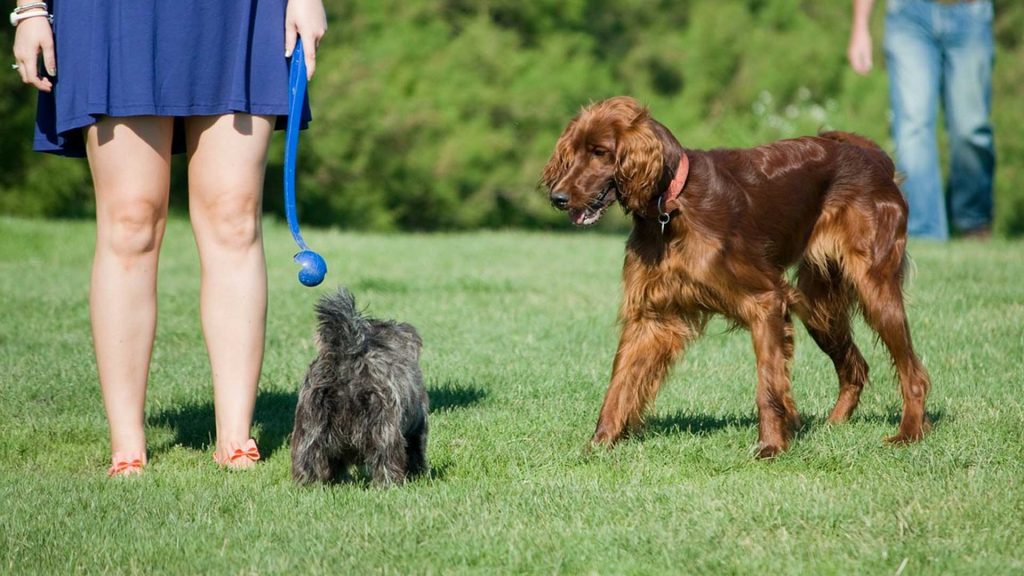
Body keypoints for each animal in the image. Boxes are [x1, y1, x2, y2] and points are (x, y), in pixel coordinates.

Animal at [290, 286, 430, 483]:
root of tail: (347, 357)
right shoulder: (417, 427)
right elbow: (416, 453)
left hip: (309, 426)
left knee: (307, 457)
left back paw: (308, 482)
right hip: (384, 429)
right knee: (386, 458)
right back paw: (390, 483)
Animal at [540, 96, 933, 455]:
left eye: (600, 152)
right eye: (573, 152)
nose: (557, 198)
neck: (671, 208)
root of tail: (874, 158)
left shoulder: (766, 302)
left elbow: (769, 386)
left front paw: (772, 446)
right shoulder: (650, 317)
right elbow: (619, 384)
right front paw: (599, 443)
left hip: (874, 288)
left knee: (912, 373)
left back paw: (909, 433)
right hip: (818, 304)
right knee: (856, 367)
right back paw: (832, 426)